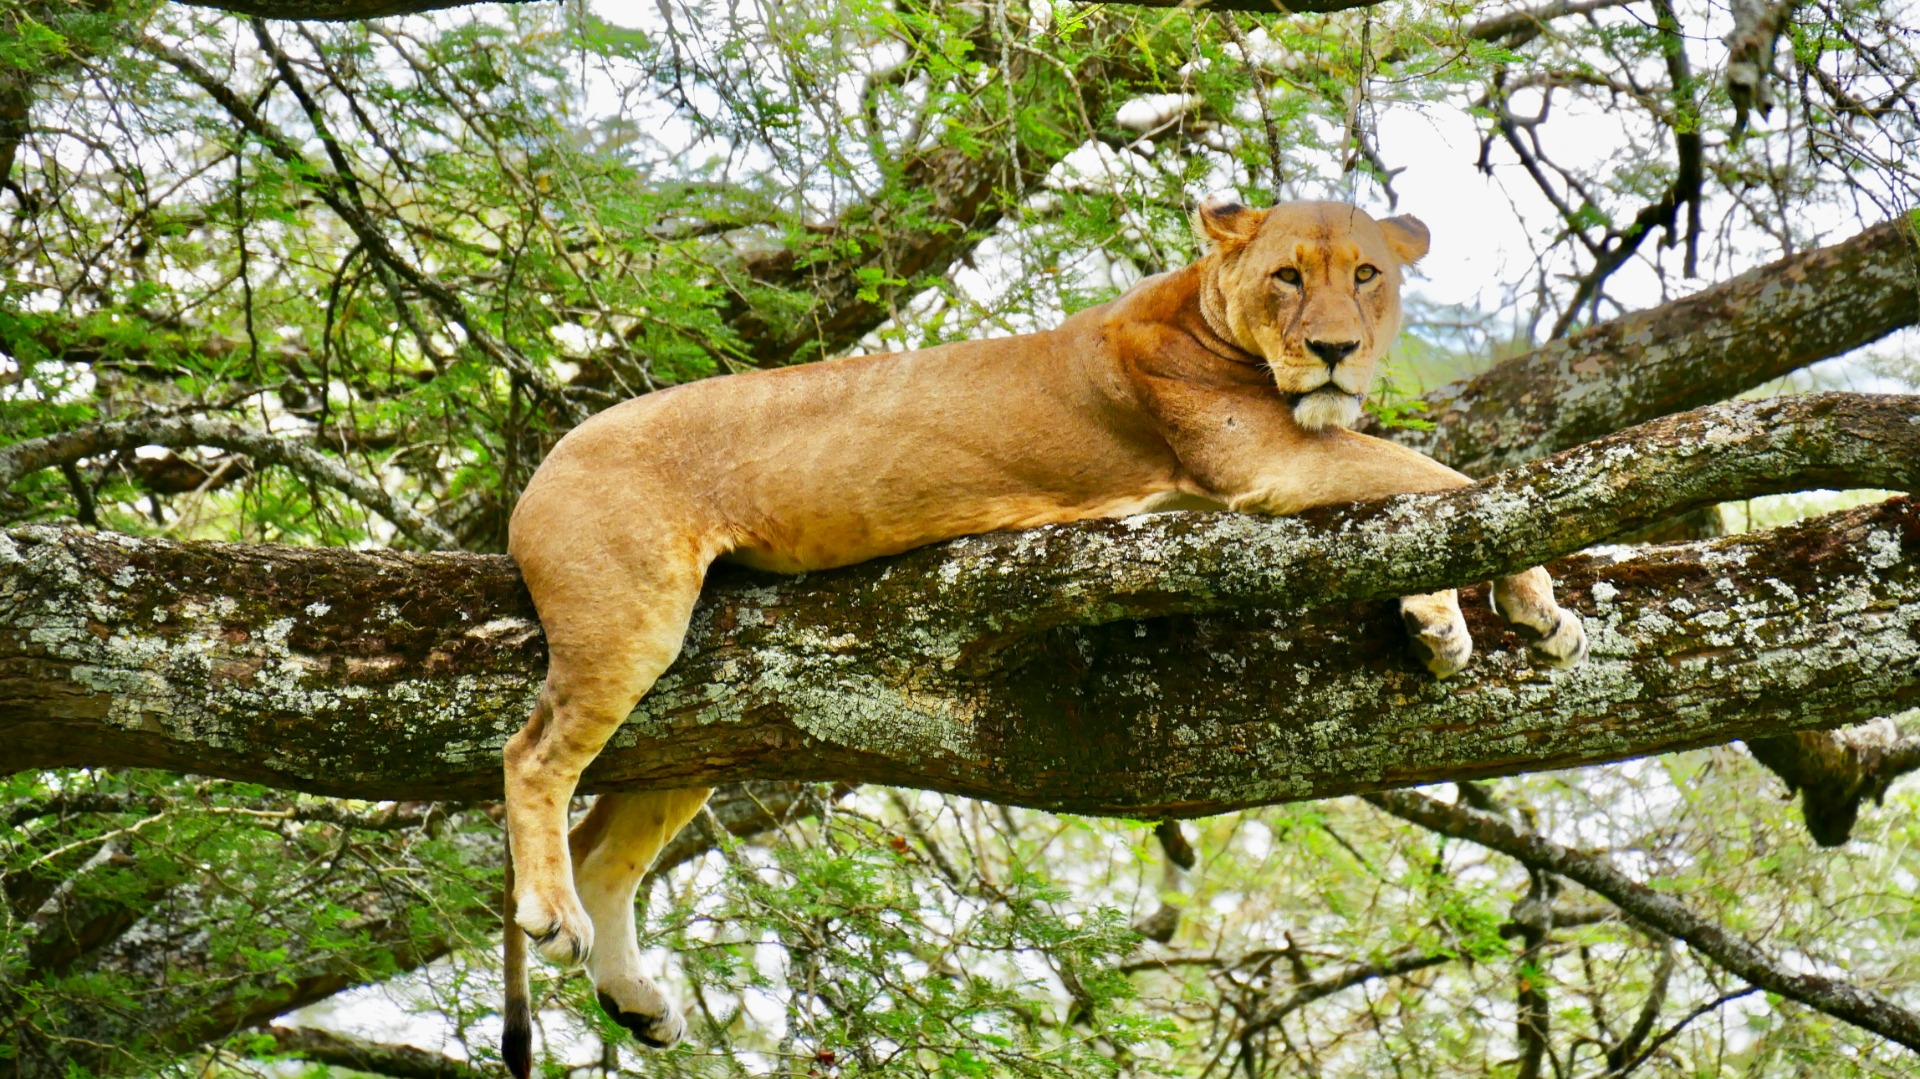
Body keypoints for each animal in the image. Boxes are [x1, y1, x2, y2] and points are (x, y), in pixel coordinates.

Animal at [498, 199, 1588, 1074]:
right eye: (1289, 275)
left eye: (1367, 274)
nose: (1333, 352)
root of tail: (544, 464)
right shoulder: (1257, 460)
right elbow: (1442, 474)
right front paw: (1538, 599)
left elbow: (1413, 496)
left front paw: (1439, 620)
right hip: (632, 623)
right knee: (533, 753)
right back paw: (551, 912)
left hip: (711, 715)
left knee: (608, 847)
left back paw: (635, 998)